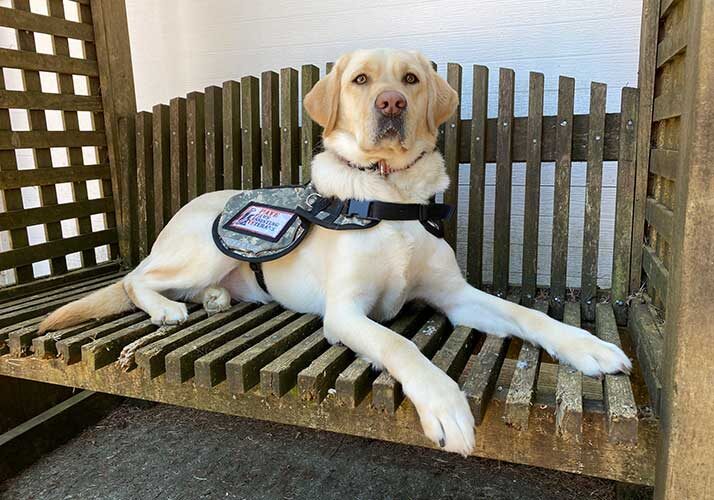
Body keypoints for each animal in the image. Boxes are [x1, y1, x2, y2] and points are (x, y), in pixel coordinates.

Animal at [40, 48, 628, 456]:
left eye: (410, 80)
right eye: (361, 80)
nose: (391, 103)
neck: (390, 195)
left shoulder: (458, 298)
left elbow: (528, 315)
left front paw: (587, 346)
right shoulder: (345, 313)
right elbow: (401, 346)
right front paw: (444, 404)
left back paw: (213, 300)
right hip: (204, 249)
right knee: (136, 280)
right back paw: (165, 308)